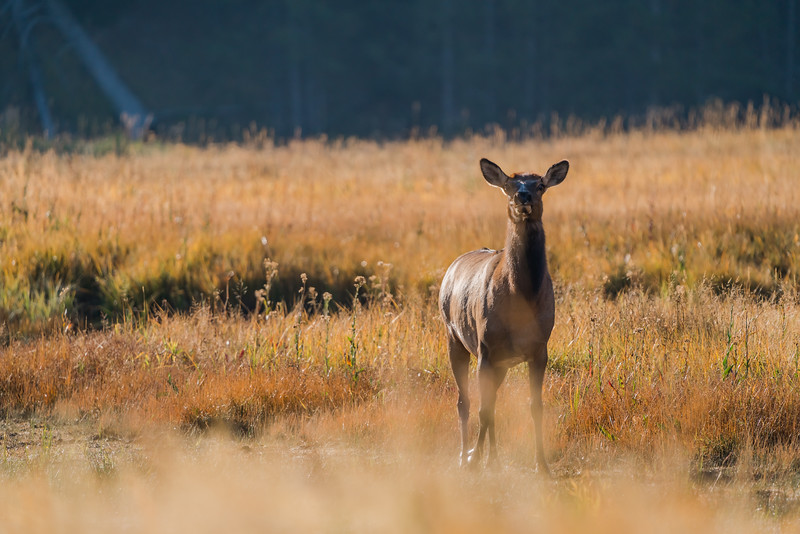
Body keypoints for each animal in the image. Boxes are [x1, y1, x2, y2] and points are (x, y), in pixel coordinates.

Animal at [439, 157, 569, 473]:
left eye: (541, 184)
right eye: (509, 184)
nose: (523, 196)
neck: (522, 297)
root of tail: (451, 268)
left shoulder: (539, 349)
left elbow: (535, 406)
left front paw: (542, 465)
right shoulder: (486, 347)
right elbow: (483, 409)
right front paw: (473, 460)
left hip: (502, 364)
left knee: (492, 400)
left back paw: (493, 459)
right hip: (453, 336)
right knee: (464, 401)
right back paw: (464, 456)